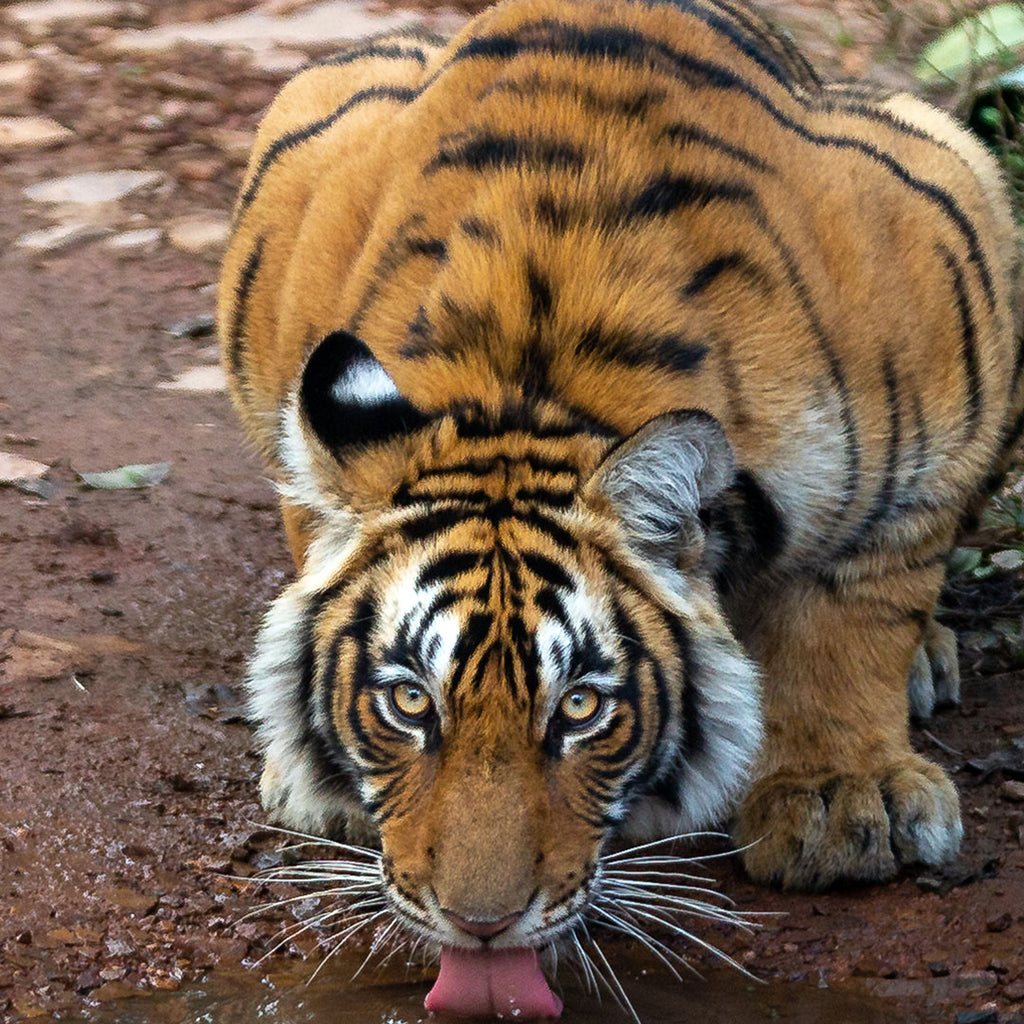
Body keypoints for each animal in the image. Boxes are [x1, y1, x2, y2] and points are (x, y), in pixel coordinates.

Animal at [218, 0, 1023, 1016]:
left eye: (581, 708)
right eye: (408, 701)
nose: (481, 924)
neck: (526, 385)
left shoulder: (943, 343)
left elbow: (861, 602)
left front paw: (843, 792)